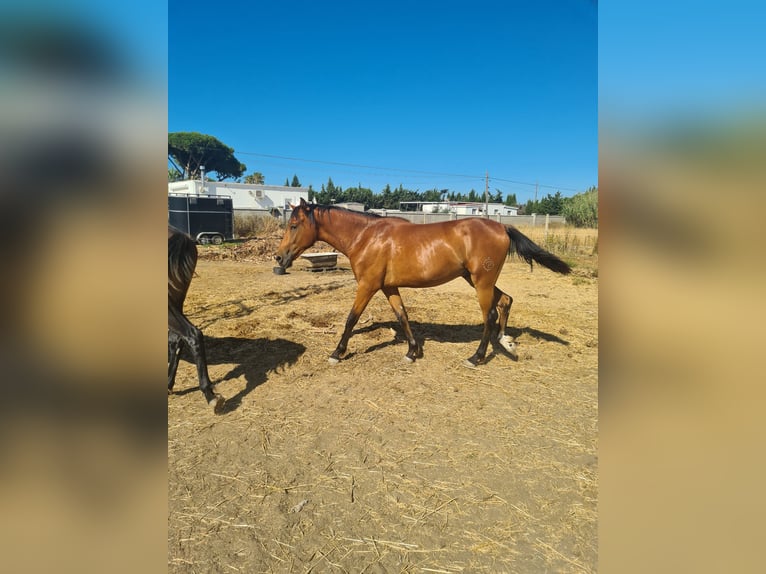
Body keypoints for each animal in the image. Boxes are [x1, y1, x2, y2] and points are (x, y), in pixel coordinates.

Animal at [276, 200, 568, 366]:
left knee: (490, 315)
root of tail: (502, 228)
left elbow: (351, 318)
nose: (279, 257)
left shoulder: (368, 285)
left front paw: (337, 353)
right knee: (505, 300)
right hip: (475, 279)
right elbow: (402, 315)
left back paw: (476, 357)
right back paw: (506, 342)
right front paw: (412, 351)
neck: (366, 237)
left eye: (294, 224)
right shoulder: (388, 287)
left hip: (481, 282)